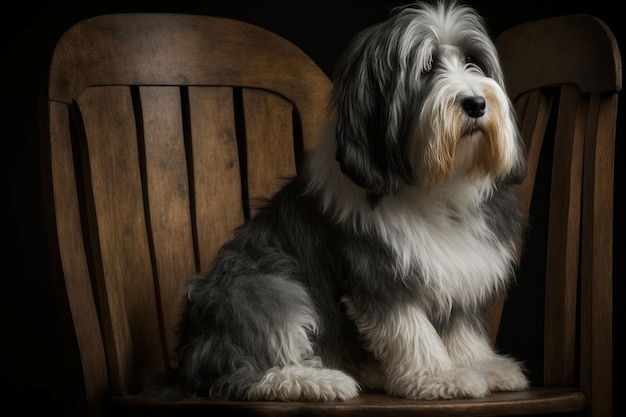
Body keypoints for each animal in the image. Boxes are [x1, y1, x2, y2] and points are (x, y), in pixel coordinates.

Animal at [147, 0, 528, 404]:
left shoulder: (462, 269)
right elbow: (411, 329)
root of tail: (187, 361)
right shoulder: (376, 271)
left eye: (473, 61)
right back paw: (319, 381)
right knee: (246, 371)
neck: (436, 183)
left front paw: (482, 366)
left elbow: (461, 328)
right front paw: (438, 377)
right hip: (255, 285)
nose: (475, 103)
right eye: (425, 68)